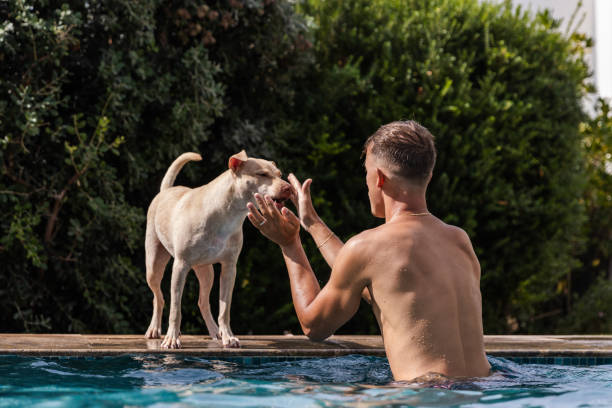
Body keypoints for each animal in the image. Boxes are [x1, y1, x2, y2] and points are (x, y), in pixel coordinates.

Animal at [146, 151, 294, 350]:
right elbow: (176, 308)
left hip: (206, 272)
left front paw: (228, 337)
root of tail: (164, 191)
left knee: (202, 301)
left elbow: (224, 308)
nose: (289, 188)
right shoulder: (180, 266)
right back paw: (155, 329)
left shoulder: (229, 268)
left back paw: (215, 331)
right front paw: (171, 339)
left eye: (279, 174)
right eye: (262, 174)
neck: (227, 213)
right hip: (154, 266)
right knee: (158, 298)